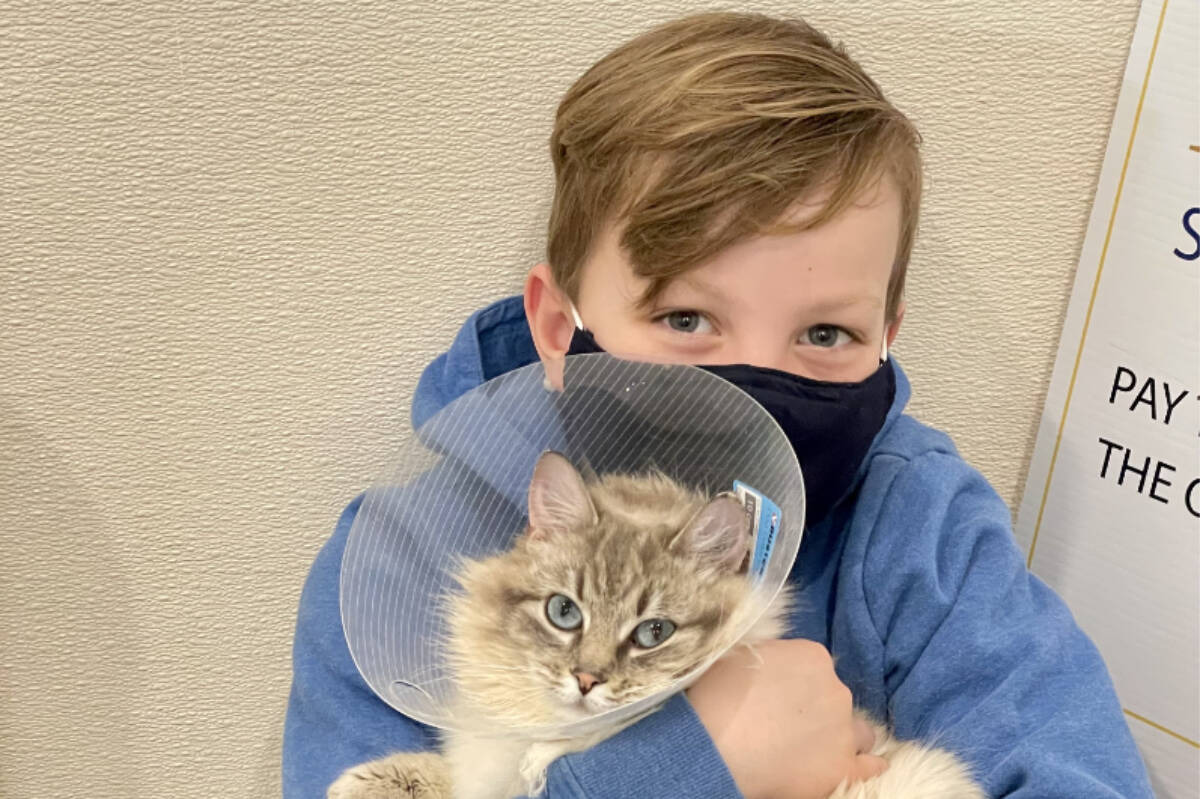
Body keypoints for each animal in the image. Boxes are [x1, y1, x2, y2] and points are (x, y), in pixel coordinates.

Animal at [331, 451, 984, 791]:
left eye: (652, 633)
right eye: (563, 612)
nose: (586, 681)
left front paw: (544, 761)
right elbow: (440, 772)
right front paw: (361, 780)